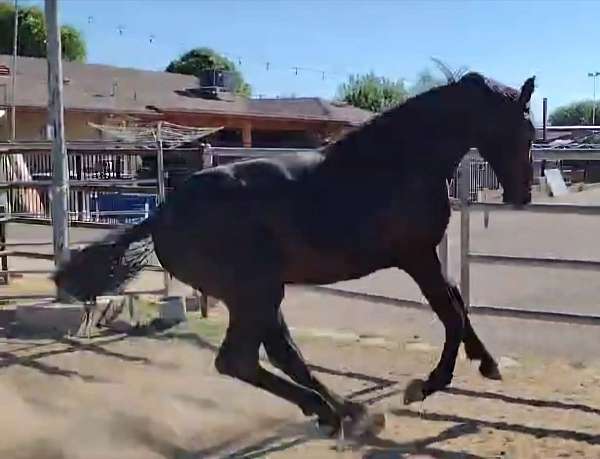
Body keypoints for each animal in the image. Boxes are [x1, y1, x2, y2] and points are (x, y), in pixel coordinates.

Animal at [55, 71, 536, 434]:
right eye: (525, 130)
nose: (523, 195)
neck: (397, 163)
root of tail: (160, 215)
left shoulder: (424, 257)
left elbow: (457, 304)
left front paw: (488, 364)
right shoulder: (415, 256)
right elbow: (450, 313)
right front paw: (426, 385)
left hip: (258, 296)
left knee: (278, 354)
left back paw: (344, 410)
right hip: (255, 293)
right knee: (240, 360)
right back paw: (337, 412)